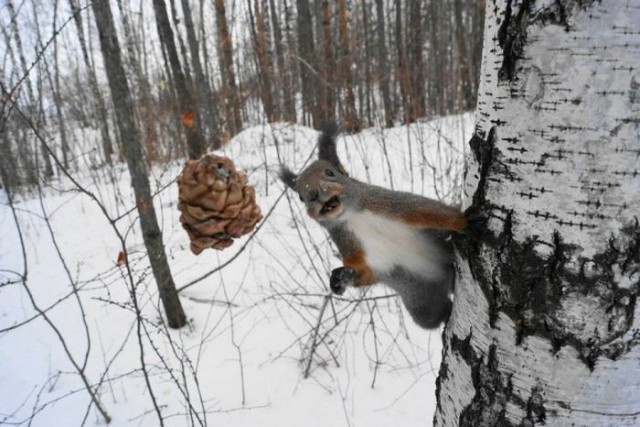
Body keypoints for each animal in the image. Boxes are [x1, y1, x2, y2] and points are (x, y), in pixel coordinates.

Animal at [280, 122, 476, 329]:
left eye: (329, 173)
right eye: (300, 197)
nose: (313, 194)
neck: (351, 215)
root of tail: (446, 280)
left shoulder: (386, 203)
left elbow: (428, 211)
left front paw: (465, 223)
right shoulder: (350, 243)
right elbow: (366, 271)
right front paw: (340, 277)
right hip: (421, 300)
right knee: (434, 315)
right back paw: (446, 317)